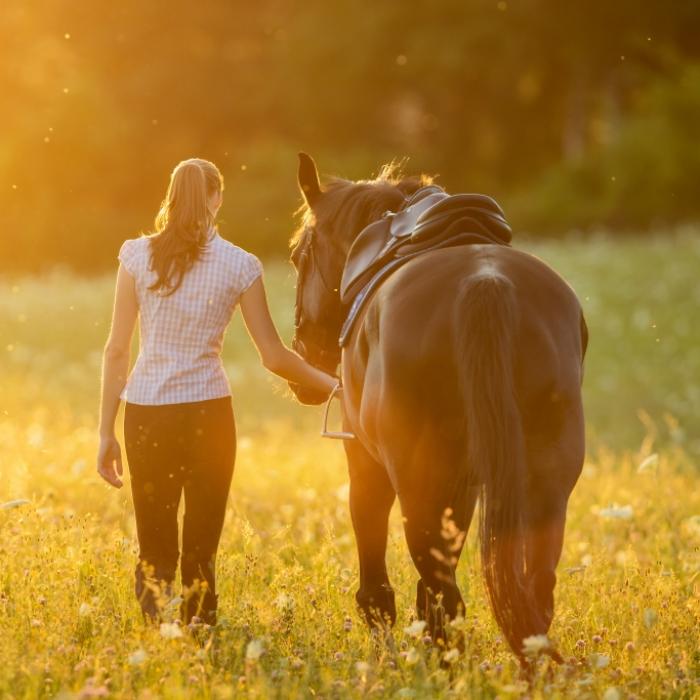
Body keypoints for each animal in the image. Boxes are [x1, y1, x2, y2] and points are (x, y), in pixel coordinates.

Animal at [288, 153, 587, 662]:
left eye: (297, 256)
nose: (300, 351)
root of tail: (485, 283)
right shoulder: (463, 482)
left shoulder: (364, 464)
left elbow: (377, 585)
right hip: (547, 482)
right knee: (531, 590)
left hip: (419, 484)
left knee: (445, 591)